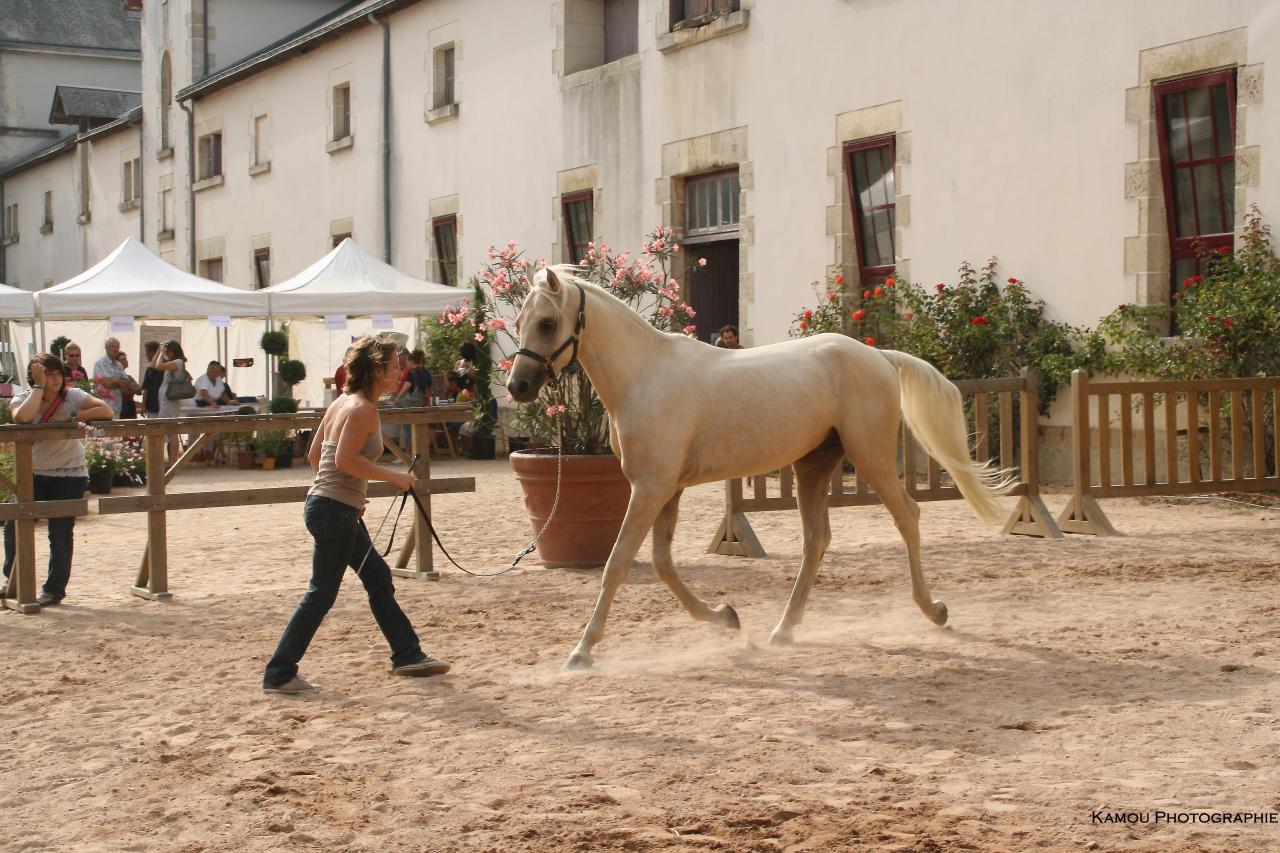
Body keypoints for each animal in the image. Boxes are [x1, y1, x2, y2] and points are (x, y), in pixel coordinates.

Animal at [509, 268, 1008, 666]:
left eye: (548, 322)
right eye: (518, 322)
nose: (518, 387)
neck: (646, 377)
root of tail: (878, 356)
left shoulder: (650, 488)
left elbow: (617, 563)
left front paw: (582, 651)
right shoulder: (666, 489)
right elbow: (663, 564)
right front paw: (727, 618)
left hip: (873, 457)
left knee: (907, 516)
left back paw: (934, 610)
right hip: (813, 466)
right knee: (816, 539)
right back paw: (783, 629)